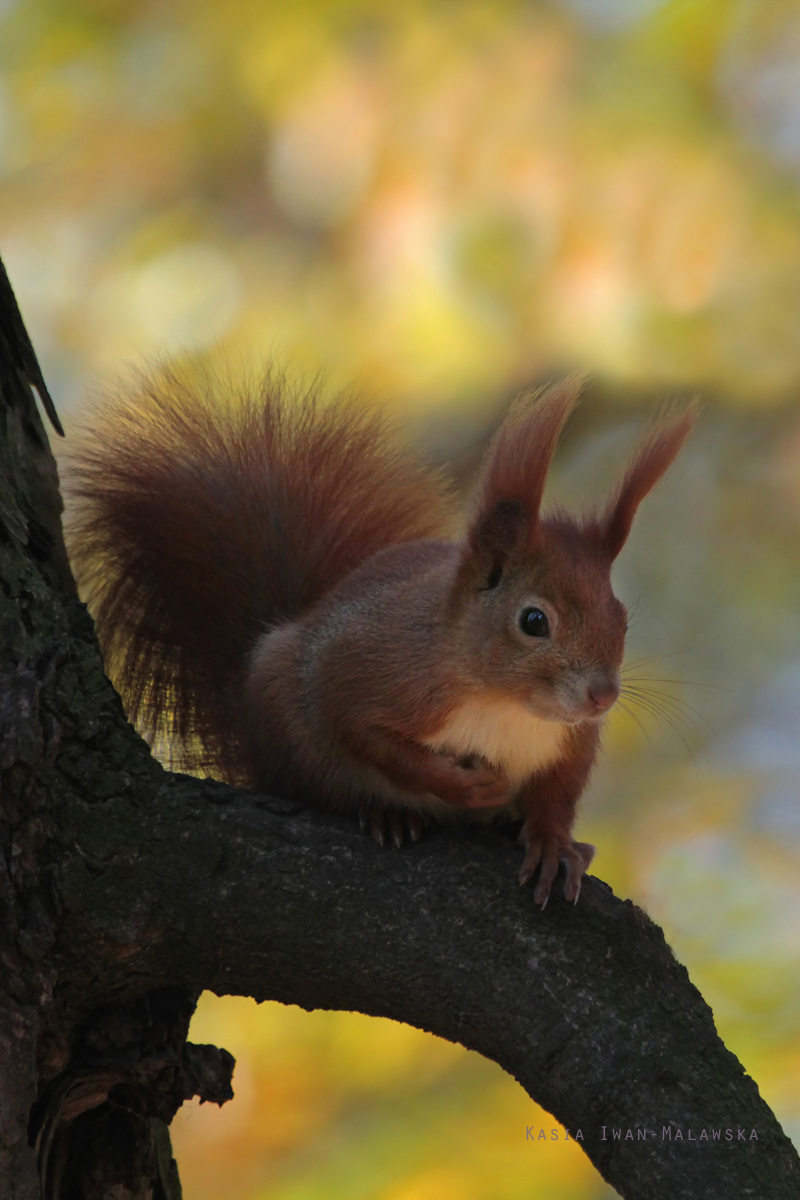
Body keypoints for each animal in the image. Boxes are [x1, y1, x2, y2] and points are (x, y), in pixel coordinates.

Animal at [67, 369, 695, 902]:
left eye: (622, 618)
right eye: (534, 621)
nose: (603, 696)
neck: (505, 705)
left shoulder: (569, 742)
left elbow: (558, 795)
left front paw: (553, 844)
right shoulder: (367, 672)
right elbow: (367, 735)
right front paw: (462, 789)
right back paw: (388, 812)